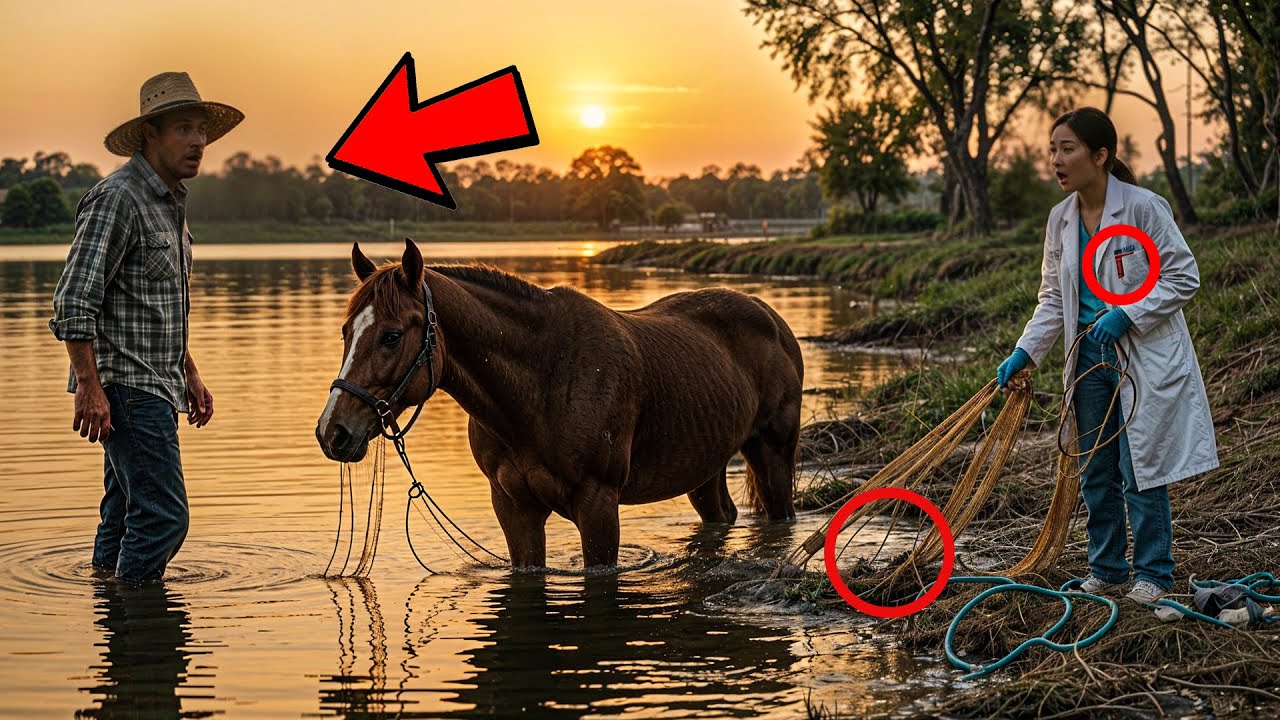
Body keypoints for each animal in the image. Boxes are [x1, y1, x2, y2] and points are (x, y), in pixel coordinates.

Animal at [316, 239, 803, 568]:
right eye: (345, 331)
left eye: (392, 335)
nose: (332, 431)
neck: (543, 382)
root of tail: (769, 315)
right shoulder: (514, 508)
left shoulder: (598, 506)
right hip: (704, 465)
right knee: (721, 514)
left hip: (772, 453)